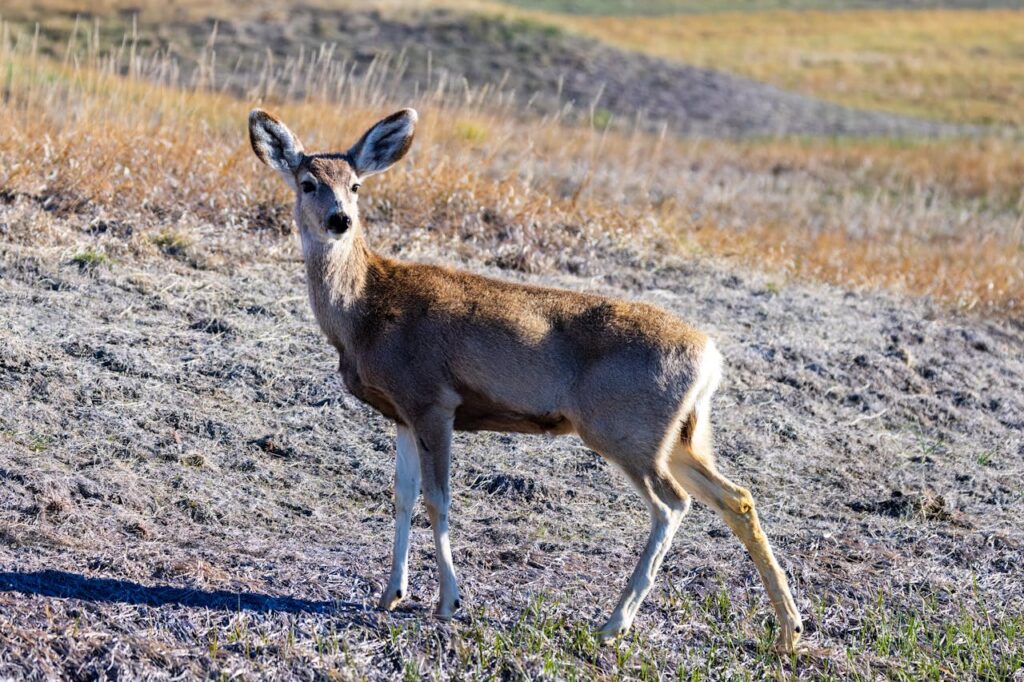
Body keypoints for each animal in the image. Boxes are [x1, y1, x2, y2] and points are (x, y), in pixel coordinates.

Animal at [248, 107, 804, 653]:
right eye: (308, 183)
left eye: (356, 184)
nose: (340, 219)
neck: (366, 311)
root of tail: (710, 357)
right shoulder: (401, 412)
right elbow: (402, 497)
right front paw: (390, 595)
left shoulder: (433, 400)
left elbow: (437, 499)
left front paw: (448, 601)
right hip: (681, 435)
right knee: (737, 496)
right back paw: (789, 629)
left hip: (627, 428)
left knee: (672, 505)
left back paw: (614, 623)